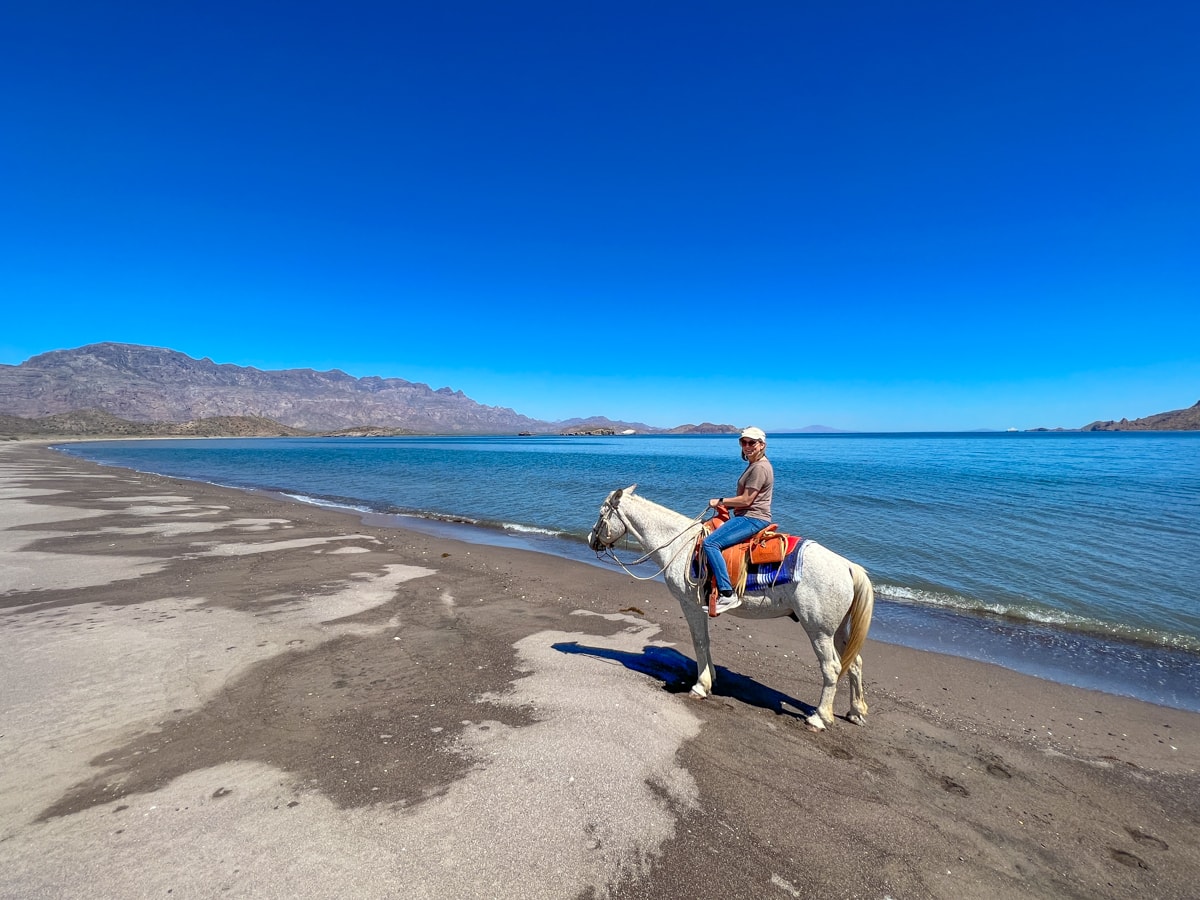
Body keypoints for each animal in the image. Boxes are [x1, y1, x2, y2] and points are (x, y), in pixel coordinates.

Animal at [588, 487, 878, 734]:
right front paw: (711, 677)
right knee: (855, 664)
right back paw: (856, 712)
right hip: (838, 630)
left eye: (602, 514)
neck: (679, 544)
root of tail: (847, 566)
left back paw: (819, 718)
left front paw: (700, 686)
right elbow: (705, 642)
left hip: (819, 630)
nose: (591, 539)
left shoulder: (690, 604)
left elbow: (699, 641)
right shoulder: (701, 606)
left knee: (831, 667)